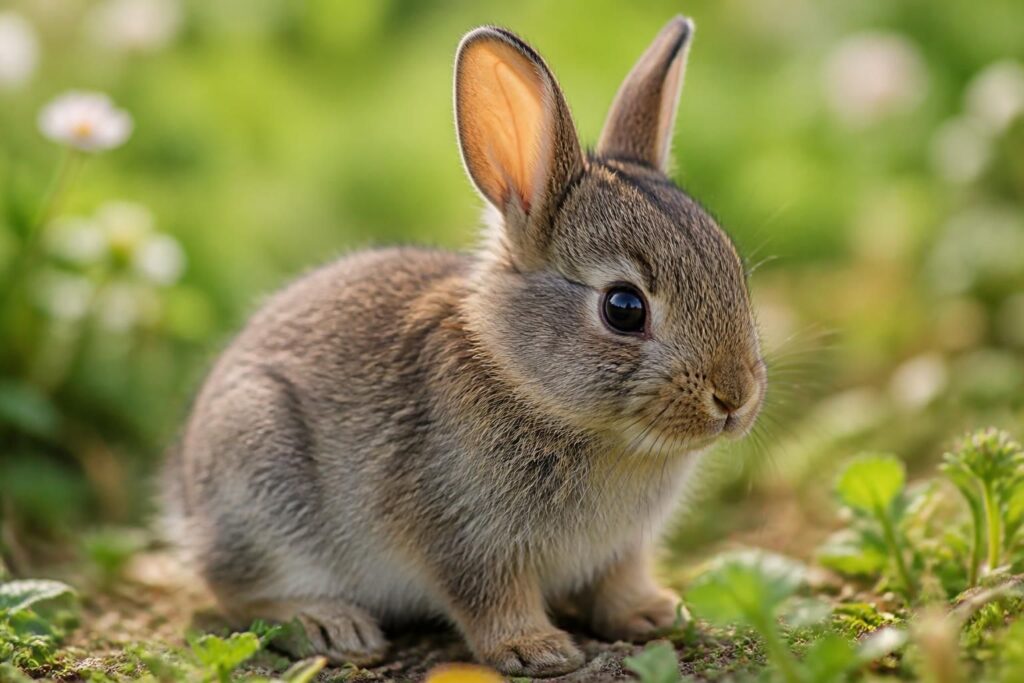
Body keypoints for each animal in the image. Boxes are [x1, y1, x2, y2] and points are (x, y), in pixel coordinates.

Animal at [164, 15, 766, 678]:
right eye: (623, 308)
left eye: (734, 272)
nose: (735, 397)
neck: (531, 387)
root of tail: (187, 501)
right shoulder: (465, 535)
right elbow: (489, 599)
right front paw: (536, 649)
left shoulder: (620, 550)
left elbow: (618, 583)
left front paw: (655, 613)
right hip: (259, 476)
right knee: (238, 591)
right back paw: (332, 626)